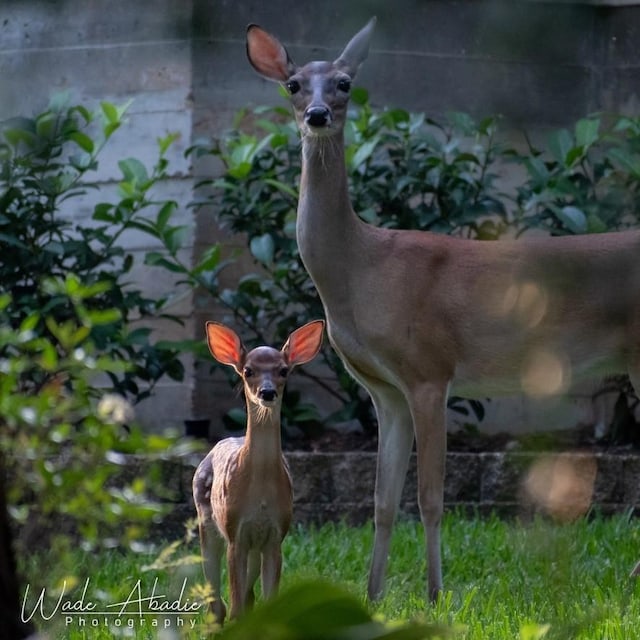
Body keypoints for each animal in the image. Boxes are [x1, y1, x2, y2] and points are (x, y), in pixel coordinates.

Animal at [192, 320, 324, 620]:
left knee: (248, 596)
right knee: (217, 599)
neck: (261, 497)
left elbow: (266, 599)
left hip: (254, 546)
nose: (267, 392)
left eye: (283, 370)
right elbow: (235, 605)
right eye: (248, 370)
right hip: (206, 519)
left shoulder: (276, 534)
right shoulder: (235, 532)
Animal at [245, 18, 640, 600]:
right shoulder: (384, 391)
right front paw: (373, 594)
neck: (361, 270)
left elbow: (430, 498)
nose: (317, 115)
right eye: (293, 84)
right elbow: (383, 501)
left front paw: (434, 593)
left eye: (344, 83)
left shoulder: (430, 369)